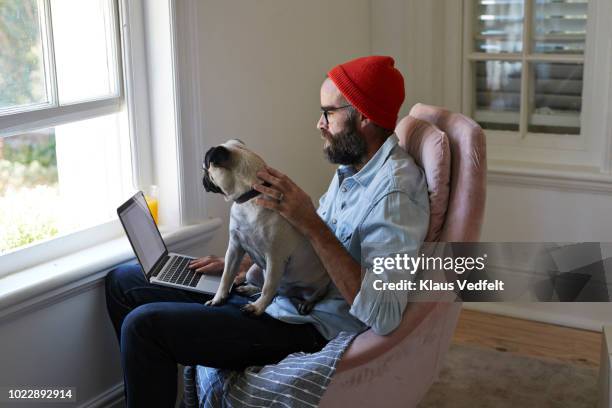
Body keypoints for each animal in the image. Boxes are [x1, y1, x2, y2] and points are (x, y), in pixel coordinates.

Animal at [202, 139, 330, 316]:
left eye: (205, 169)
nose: (203, 179)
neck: (251, 196)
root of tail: (287, 293)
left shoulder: (275, 258)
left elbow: (268, 287)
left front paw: (258, 307)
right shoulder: (234, 248)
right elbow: (226, 277)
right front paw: (218, 298)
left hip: (314, 285)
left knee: (313, 293)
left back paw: (307, 303)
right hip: (253, 271)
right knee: (264, 286)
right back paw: (249, 289)